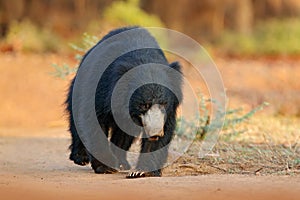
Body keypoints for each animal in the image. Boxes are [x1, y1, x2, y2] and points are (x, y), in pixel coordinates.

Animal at [66, 26, 183, 178]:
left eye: (163, 103)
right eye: (144, 105)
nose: (155, 133)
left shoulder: (168, 109)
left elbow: (165, 129)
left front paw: (142, 171)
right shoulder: (102, 90)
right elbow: (93, 122)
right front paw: (105, 167)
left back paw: (121, 162)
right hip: (79, 86)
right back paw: (80, 157)